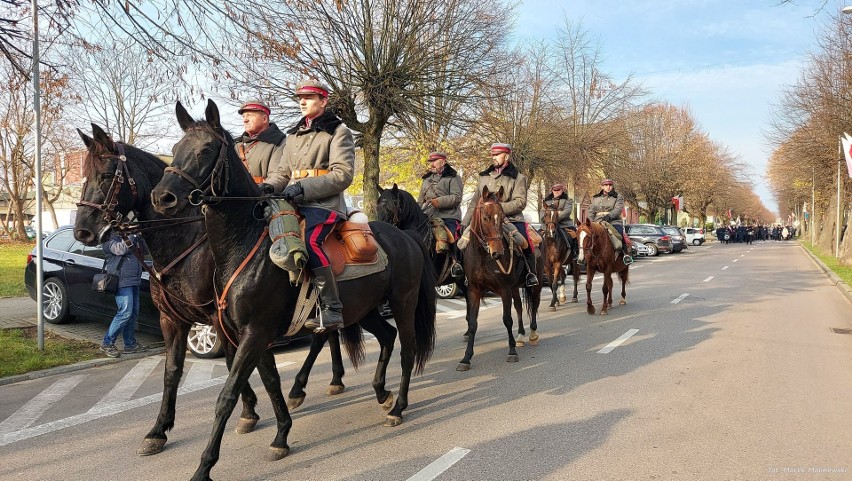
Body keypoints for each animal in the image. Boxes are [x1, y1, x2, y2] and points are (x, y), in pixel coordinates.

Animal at [71, 122, 348, 456]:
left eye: (107, 175)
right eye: (85, 175)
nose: (83, 231)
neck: (184, 244)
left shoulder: (220, 320)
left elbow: (231, 364)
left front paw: (248, 412)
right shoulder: (173, 320)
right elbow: (172, 372)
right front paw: (158, 431)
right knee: (327, 335)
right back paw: (328, 382)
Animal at [149, 99, 436, 478]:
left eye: (207, 149)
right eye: (176, 148)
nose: (162, 197)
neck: (243, 247)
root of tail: (405, 236)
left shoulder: (255, 333)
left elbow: (227, 396)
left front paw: (204, 466)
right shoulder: (250, 335)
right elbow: (271, 383)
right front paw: (281, 437)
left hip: (403, 303)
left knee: (407, 349)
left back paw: (398, 407)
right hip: (365, 310)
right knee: (387, 337)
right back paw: (381, 393)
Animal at [456, 186, 544, 370]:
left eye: (503, 217)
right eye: (485, 217)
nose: (498, 252)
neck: (483, 256)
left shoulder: (504, 290)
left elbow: (507, 319)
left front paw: (512, 352)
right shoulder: (474, 290)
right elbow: (473, 323)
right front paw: (466, 358)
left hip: (535, 284)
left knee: (534, 304)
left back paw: (532, 334)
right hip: (515, 287)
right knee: (519, 307)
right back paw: (520, 336)